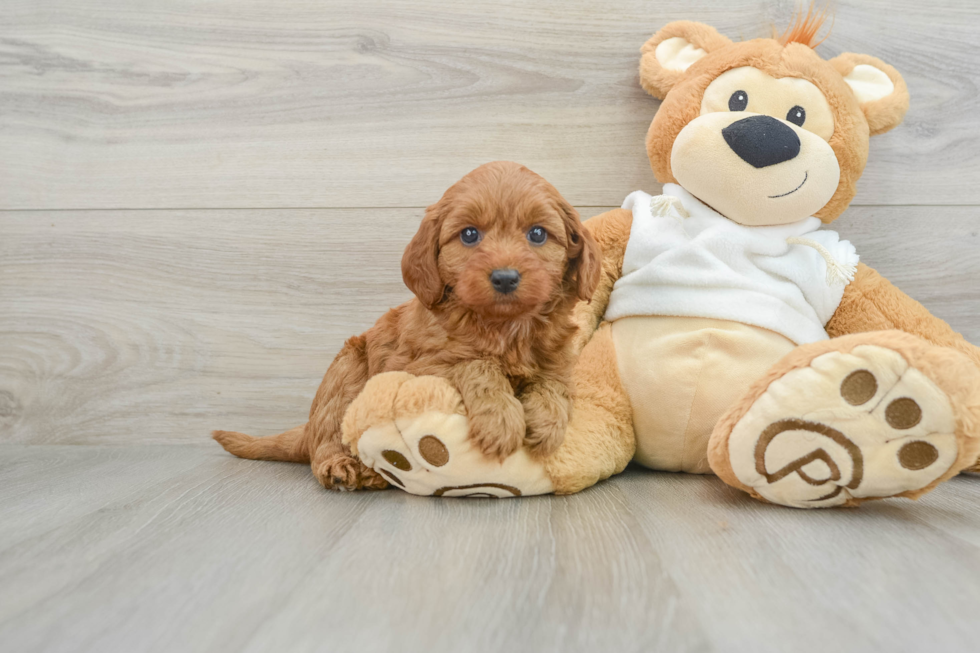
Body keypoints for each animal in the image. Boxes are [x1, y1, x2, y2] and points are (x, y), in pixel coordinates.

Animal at [212, 163, 604, 488]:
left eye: (537, 234)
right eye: (469, 235)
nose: (505, 278)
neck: (505, 327)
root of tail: (305, 429)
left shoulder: (559, 359)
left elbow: (554, 384)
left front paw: (547, 422)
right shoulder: (419, 363)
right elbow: (476, 363)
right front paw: (501, 420)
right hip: (344, 373)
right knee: (325, 437)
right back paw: (342, 467)